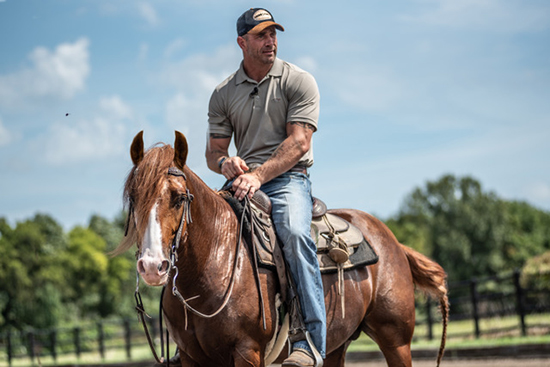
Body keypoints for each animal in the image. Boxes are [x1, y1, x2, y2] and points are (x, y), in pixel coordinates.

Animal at [115, 132, 448, 367]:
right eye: (133, 197)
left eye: (179, 198)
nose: (152, 266)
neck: (214, 265)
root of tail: (391, 240)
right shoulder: (191, 358)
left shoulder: (247, 352)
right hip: (336, 346)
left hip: (396, 340)